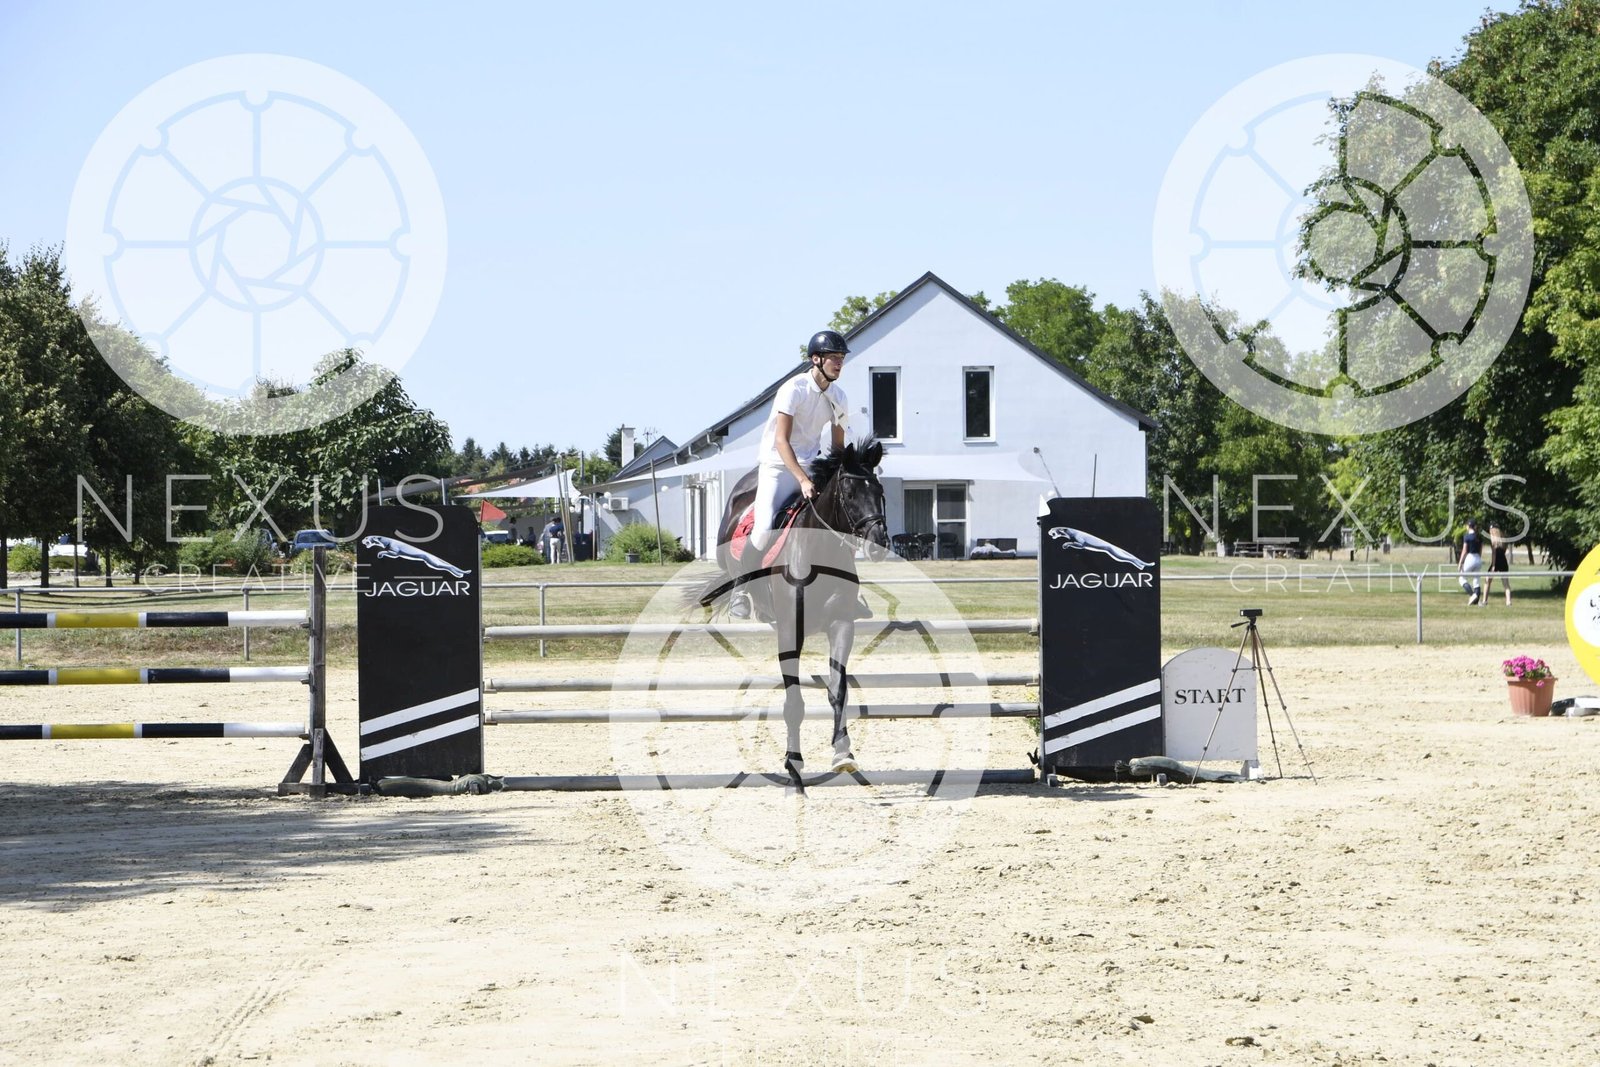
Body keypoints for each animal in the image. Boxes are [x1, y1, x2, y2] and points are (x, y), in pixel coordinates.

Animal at [695, 439, 890, 789]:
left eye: (879, 490)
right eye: (849, 492)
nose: (879, 544)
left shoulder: (842, 624)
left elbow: (838, 690)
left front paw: (843, 754)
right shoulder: (789, 631)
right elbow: (794, 702)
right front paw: (792, 764)